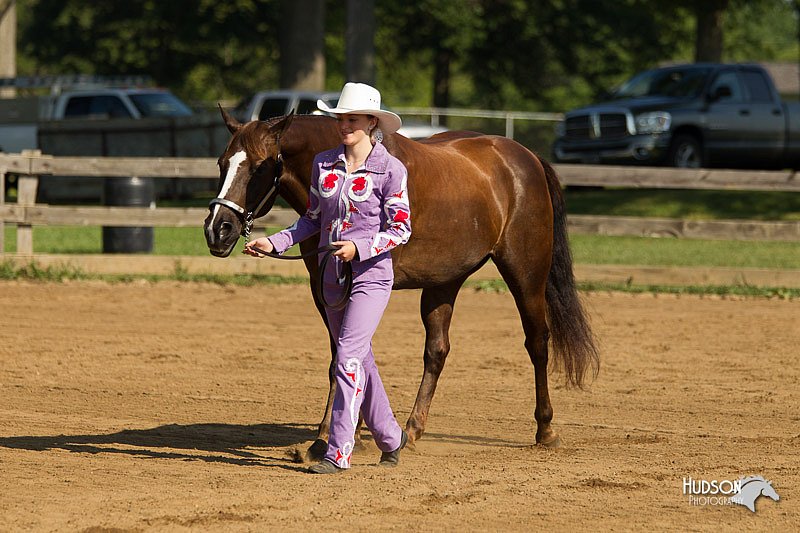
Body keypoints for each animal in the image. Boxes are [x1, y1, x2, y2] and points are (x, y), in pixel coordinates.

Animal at [203, 110, 596, 460]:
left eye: (259, 165)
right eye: (222, 163)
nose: (217, 229)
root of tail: (526, 158)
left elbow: (350, 352)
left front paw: (330, 436)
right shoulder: (326, 290)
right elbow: (344, 354)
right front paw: (348, 432)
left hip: (525, 273)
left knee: (537, 342)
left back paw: (546, 429)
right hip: (445, 281)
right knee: (437, 350)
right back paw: (413, 429)